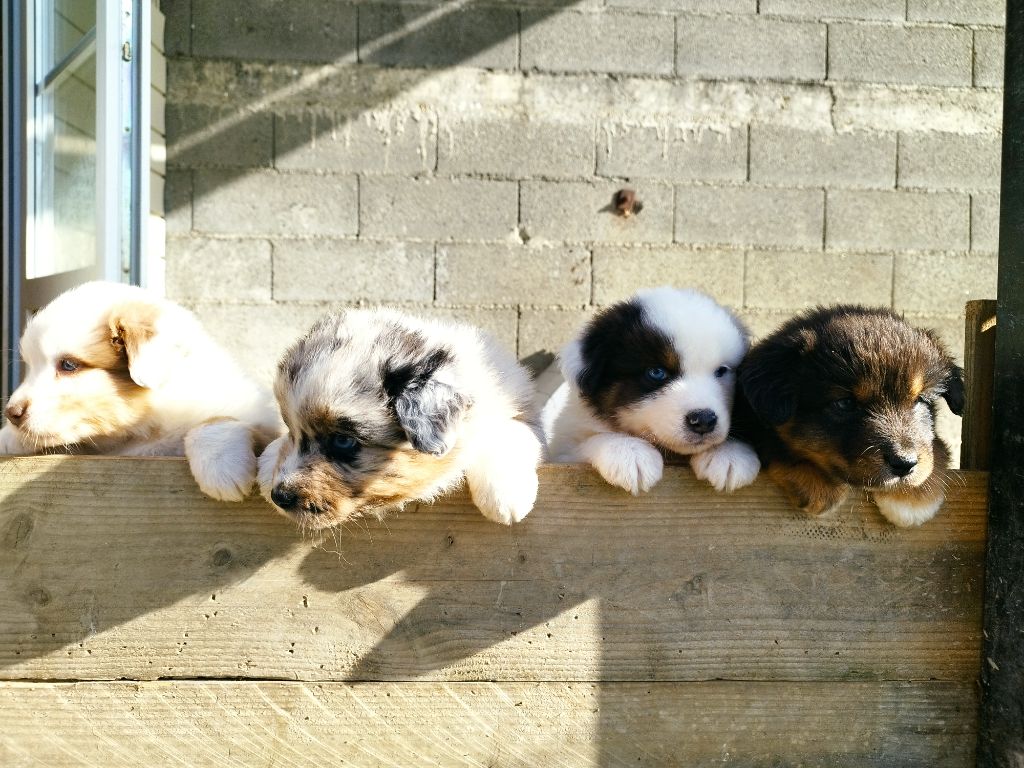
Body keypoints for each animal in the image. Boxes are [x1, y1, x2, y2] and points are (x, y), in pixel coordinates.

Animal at [0, 280, 282, 501]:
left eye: (68, 365)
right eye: (30, 366)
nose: (11, 413)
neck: (143, 429)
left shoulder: (263, 421)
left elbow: (214, 422)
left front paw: (222, 467)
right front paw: (8, 437)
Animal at [256, 307, 544, 528]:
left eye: (343, 441)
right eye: (290, 428)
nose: (279, 496)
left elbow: (505, 432)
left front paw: (506, 496)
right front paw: (267, 462)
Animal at [544, 286, 761, 493]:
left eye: (721, 371)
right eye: (656, 372)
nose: (704, 420)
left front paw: (729, 453)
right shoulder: (564, 453)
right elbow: (591, 440)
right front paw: (630, 453)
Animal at [733, 307, 962, 528]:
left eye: (919, 400)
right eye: (845, 403)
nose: (904, 464)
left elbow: (936, 448)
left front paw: (915, 497)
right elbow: (774, 440)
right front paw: (819, 482)